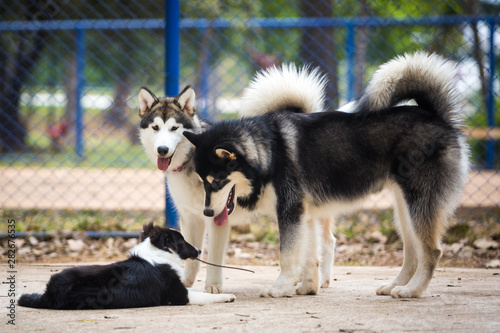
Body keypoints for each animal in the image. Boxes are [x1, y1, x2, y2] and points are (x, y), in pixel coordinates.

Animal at [18, 223, 236, 308]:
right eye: (181, 242)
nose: (199, 251)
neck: (158, 252)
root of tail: (49, 294)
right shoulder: (179, 295)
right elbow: (205, 295)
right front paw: (227, 296)